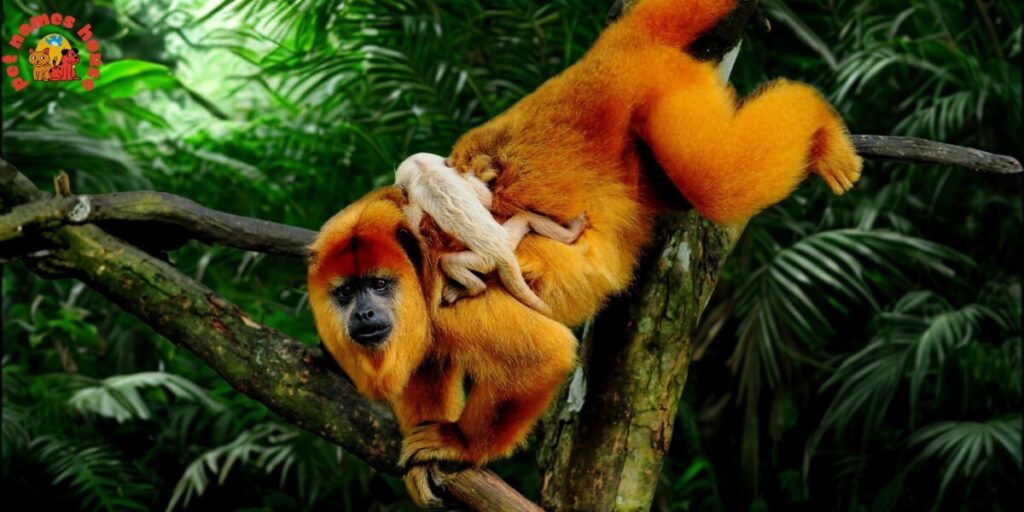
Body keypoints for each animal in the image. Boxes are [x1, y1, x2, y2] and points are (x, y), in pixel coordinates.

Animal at [394, 152, 586, 313]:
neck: (423, 169)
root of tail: (504, 254)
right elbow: (488, 200)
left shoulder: (417, 192)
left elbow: (414, 221)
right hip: (508, 237)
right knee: (526, 217)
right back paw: (573, 232)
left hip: (485, 261)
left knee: (448, 261)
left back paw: (472, 289)